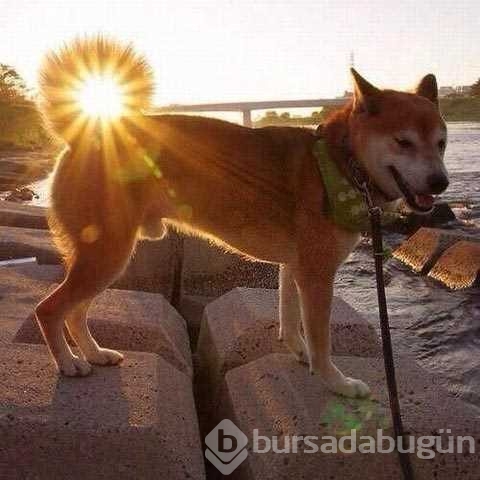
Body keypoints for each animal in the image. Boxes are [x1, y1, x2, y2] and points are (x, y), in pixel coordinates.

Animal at [35, 36, 448, 398]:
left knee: (75, 312)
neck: (342, 164)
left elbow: (290, 320)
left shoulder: (295, 267)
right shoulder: (317, 274)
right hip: (108, 256)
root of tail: (84, 135)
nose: (440, 182)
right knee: (50, 309)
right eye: (403, 142)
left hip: (107, 259)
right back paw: (69, 363)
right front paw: (337, 383)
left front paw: (300, 354)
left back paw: (94, 354)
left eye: (441, 143)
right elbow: (321, 339)